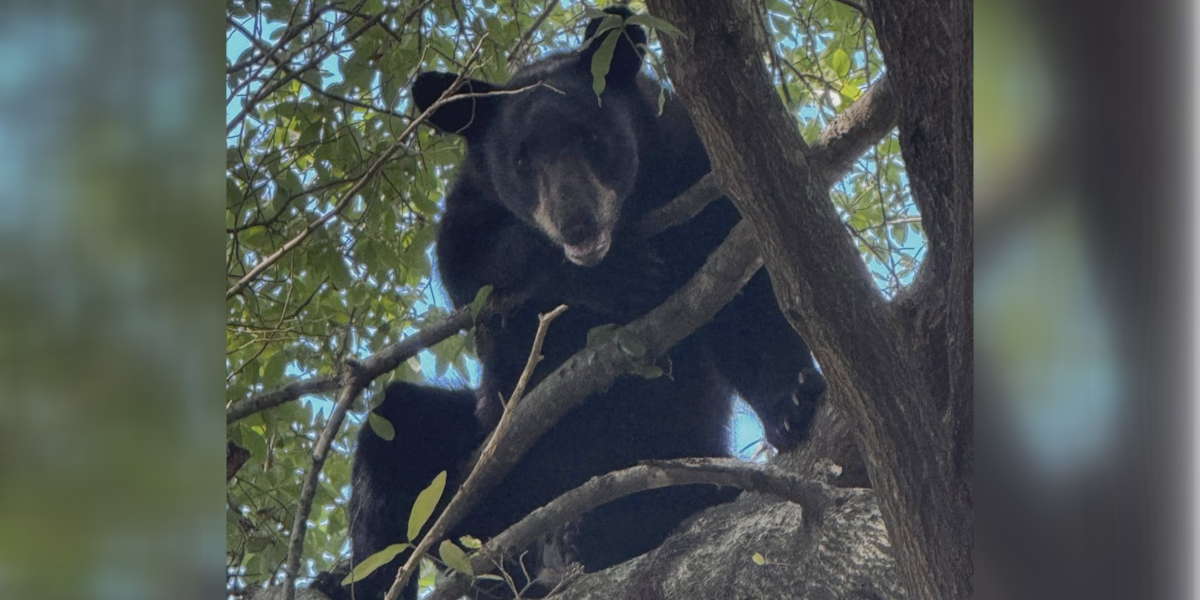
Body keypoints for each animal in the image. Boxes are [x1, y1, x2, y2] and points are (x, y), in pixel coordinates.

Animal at [326, 7, 826, 600]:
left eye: (592, 136)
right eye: (521, 160)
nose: (578, 223)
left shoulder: (697, 168)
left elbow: (744, 298)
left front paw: (791, 398)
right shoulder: (471, 203)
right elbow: (467, 268)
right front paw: (615, 274)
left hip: (666, 447)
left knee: (677, 486)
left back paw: (595, 530)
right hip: (481, 472)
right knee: (393, 437)